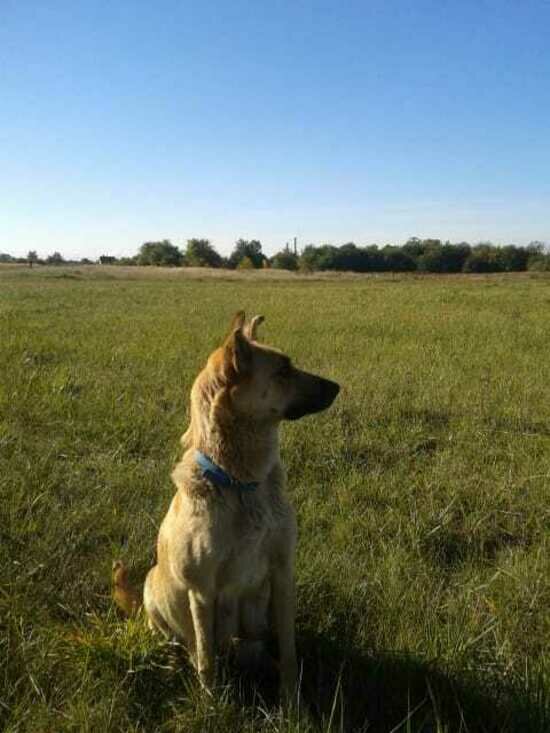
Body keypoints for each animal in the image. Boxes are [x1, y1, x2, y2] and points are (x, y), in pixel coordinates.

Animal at [115, 310, 340, 696]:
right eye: (283, 370)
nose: (338, 387)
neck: (241, 483)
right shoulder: (203, 591)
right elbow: (206, 660)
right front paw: (211, 703)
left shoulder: (282, 572)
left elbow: (289, 651)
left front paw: (292, 700)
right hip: (153, 591)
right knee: (180, 644)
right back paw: (173, 662)